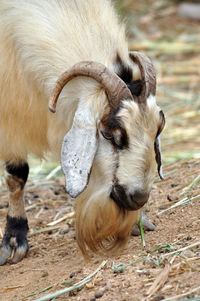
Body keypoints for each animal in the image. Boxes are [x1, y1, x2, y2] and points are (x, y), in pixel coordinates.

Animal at [0, 0, 165, 262]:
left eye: (158, 129)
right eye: (108, 134)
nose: (138, 198)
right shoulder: (10, 120)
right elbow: (17, 176)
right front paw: (15, 240)